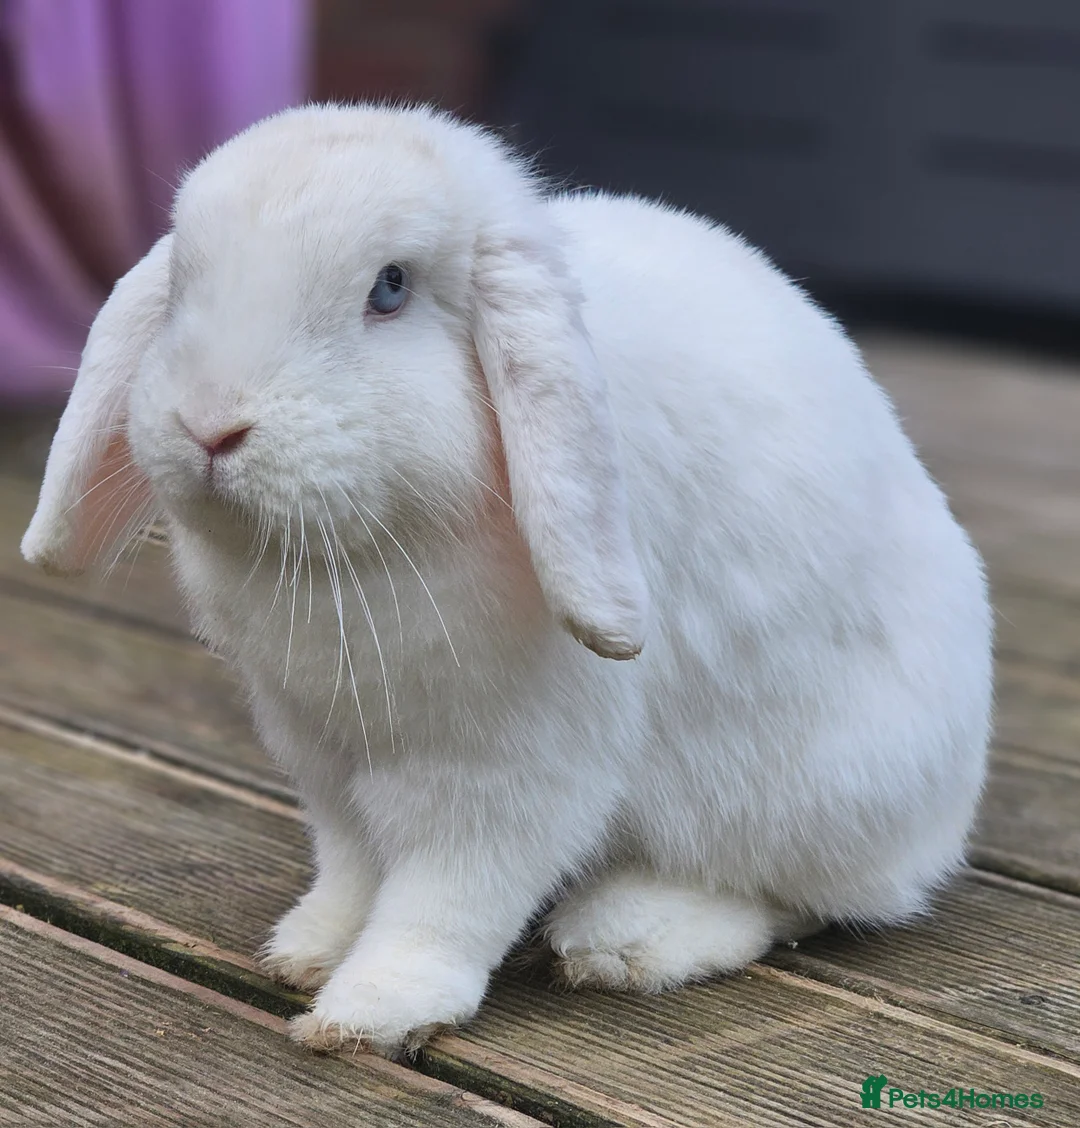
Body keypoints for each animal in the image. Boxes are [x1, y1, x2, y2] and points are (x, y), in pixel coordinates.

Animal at [22, 103, 993, 1058]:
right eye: (182, 281)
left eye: (390, 288)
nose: (210, 426)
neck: (350, 556)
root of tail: (950, 802)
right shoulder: (323, 751)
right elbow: (352, 865)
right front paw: (310, 948)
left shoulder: (509, 769)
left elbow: (448, 896)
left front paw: (370, 1009)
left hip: (817, 792)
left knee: (804, 898)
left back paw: (625, 939)